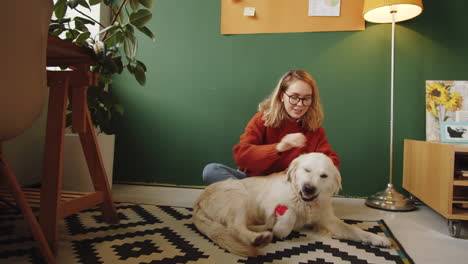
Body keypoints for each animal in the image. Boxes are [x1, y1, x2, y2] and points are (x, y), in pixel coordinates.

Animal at [192, 153, 394, 256]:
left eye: (323, 175)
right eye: (307, 170)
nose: (308, 188)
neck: (306, 203)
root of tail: (198, 203)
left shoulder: (329, 221)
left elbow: (355, 230)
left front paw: (378, 239)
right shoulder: (267, 203)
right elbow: (290, 213)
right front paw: (281, 229)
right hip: (238, 193)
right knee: (234, 227)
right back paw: (259, 238)